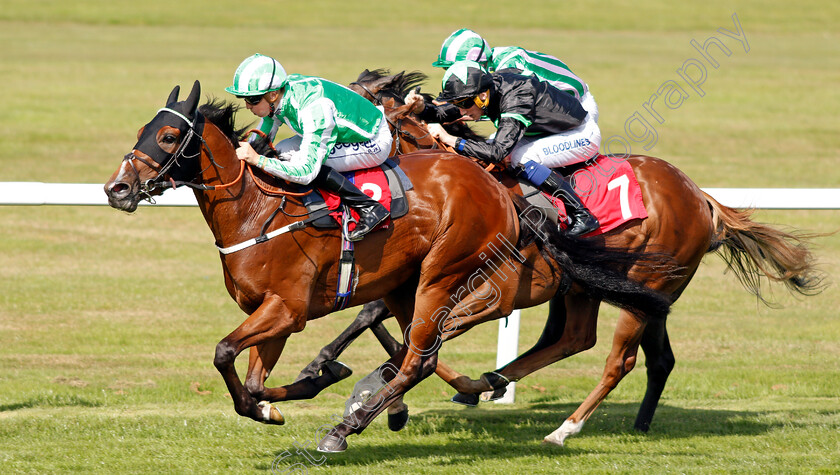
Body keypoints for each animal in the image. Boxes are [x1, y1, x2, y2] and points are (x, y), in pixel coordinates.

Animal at [103, 81, 676, 454]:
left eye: (169, 138)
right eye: (142, 129)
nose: (117, 188)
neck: (255, 210)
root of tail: (499, 191)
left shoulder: (286, 309)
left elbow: (224, 353)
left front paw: (321, 390)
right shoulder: (273, 315)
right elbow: (255, 383)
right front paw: (295, 393)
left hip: (443, 275)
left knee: (420, 357)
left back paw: (345, 431)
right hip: (408, 285)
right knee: (420, 353)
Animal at [292, 69, 824, 448]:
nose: (304, 163)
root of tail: (701, 198)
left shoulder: (492, 295)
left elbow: (414, 340)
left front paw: (357, 392)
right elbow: (392, 327)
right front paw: (338, 378)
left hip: (642, 290)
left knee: (619, 360)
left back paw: (563, 428)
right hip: (597, 289)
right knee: (581, 340)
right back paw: (500, 383)